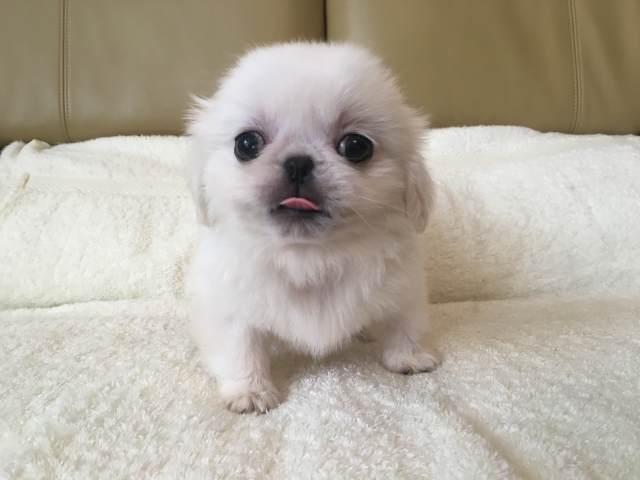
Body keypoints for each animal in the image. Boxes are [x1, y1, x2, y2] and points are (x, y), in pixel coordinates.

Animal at [186, 42, 439, 414]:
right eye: (246, 144)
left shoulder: (403, 288)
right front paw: (250, 391)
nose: (298, 163)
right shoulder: (230, 307)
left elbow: (404, 324)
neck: (311, 257)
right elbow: (240, 349)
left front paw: (409, 358)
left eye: (356, 146)